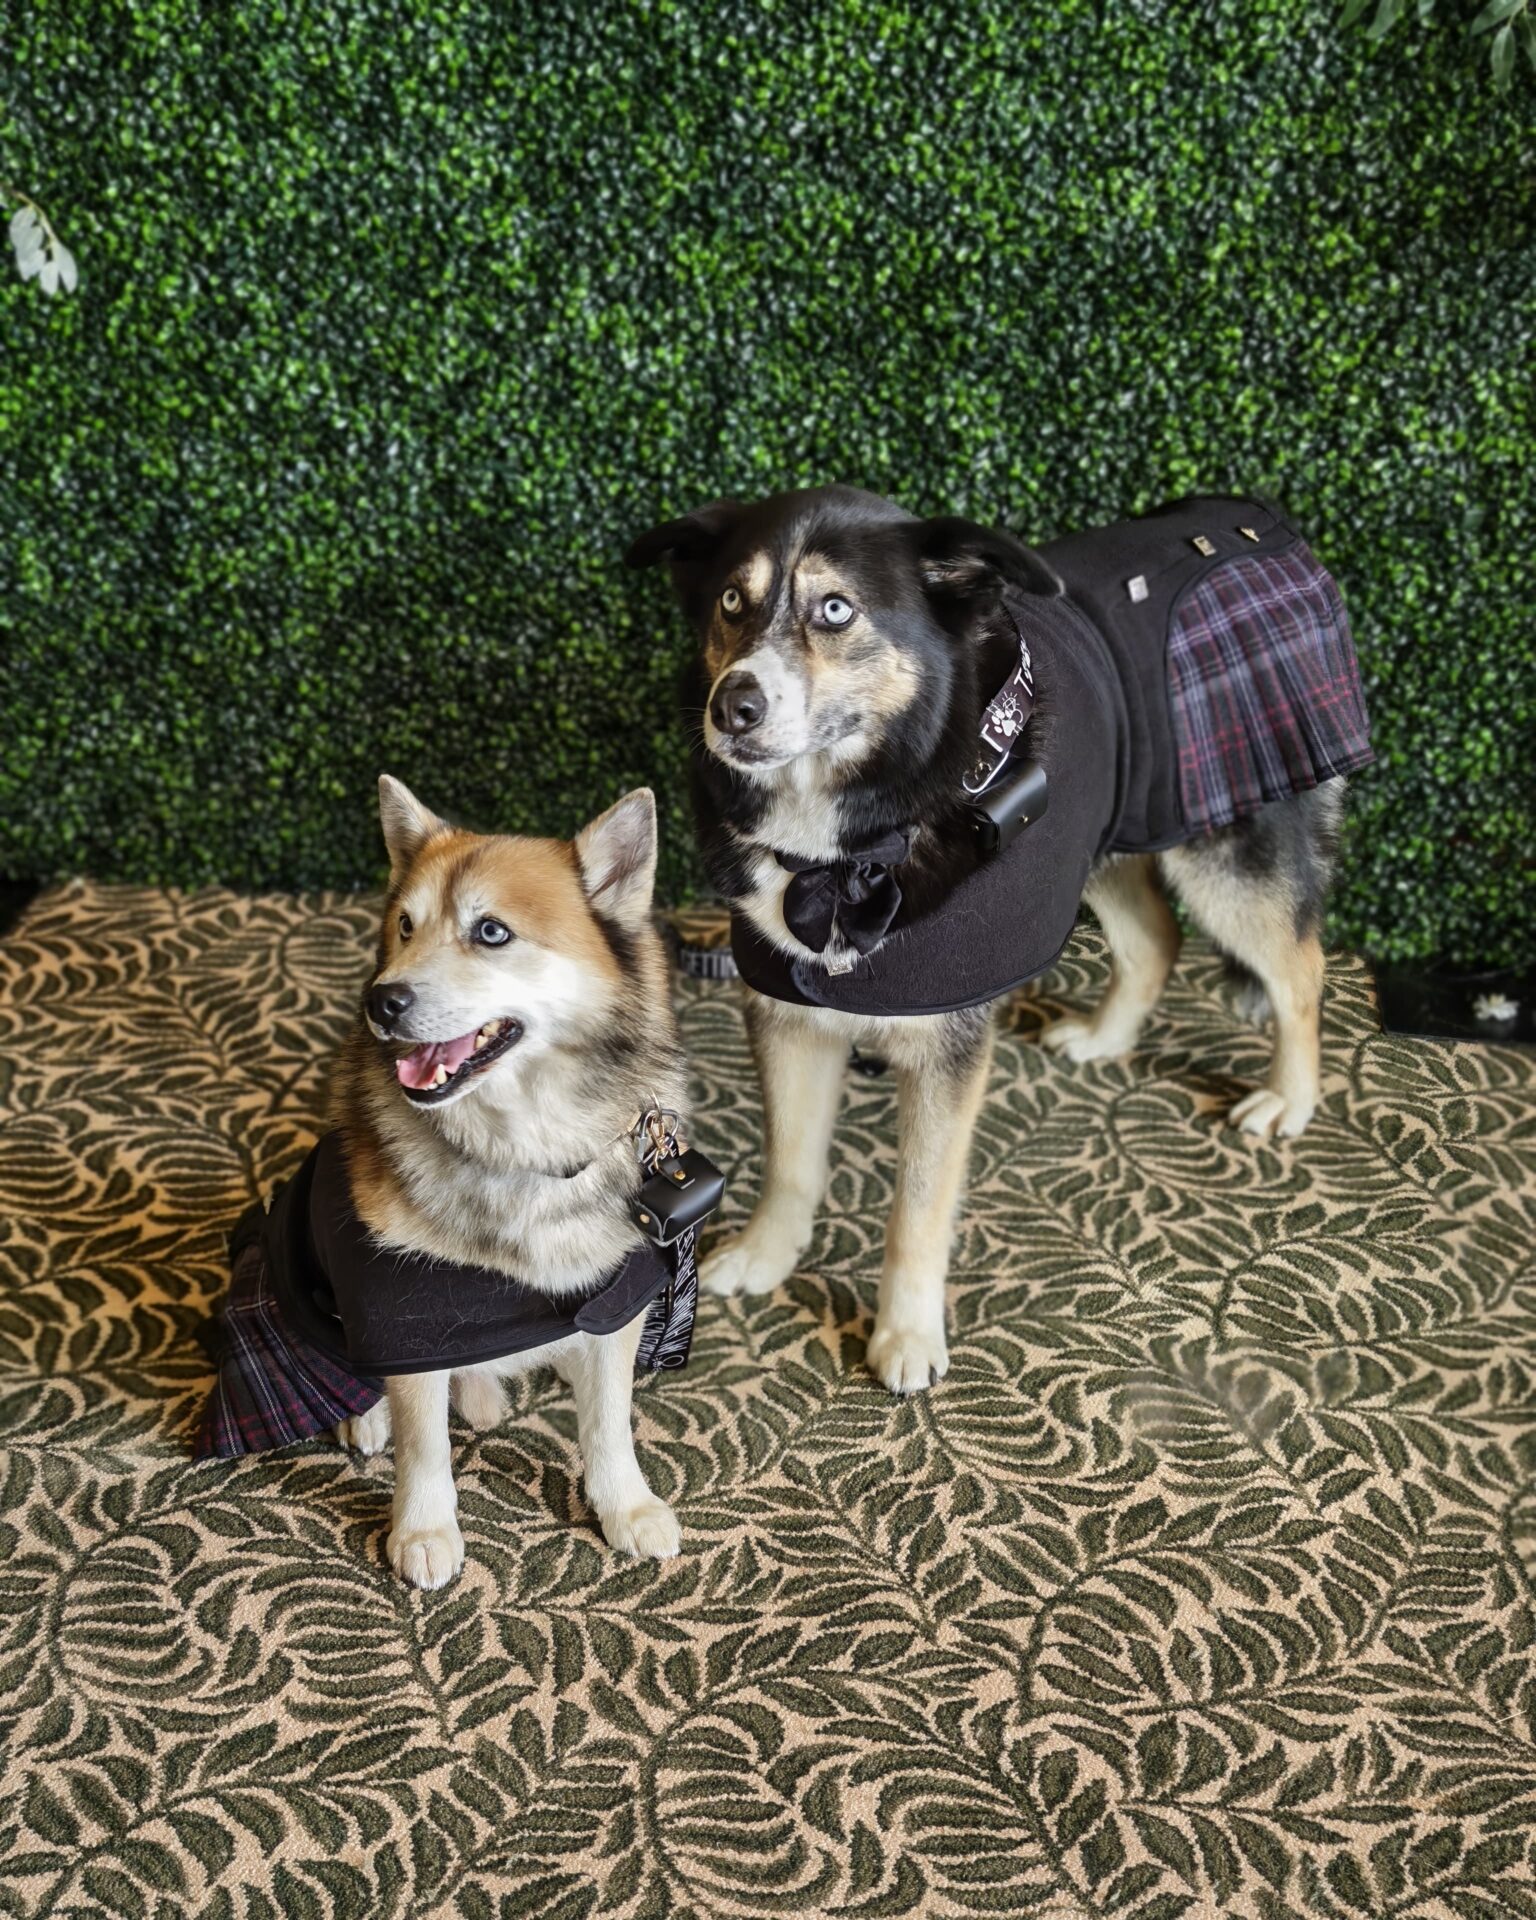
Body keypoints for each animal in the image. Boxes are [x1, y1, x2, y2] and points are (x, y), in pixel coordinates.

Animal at [327, 777, 691, 1586]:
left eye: (491, 932)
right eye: (405, 926)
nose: (381, 1001)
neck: (519, 1151)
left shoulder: (616, 1304)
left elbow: (609, 1423)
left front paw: (626, 1506)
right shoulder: (405, 1318)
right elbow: (423, 1440)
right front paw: (424, 1529)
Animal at [628, 486, 1364, 1397]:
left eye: (835, 610)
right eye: (732, 601)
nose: (733, 706)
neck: (857, 835)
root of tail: (1262, 519)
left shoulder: (949, 1047)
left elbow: (917, 1206)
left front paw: (906, 1334)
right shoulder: (787, 1010)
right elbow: (792, 1160)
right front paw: (769, 1254)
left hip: (1231, 855)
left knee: (1301, 970)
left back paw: (1288, 1099)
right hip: (1099, 830)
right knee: (1157, 937)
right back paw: (1106, 1037)